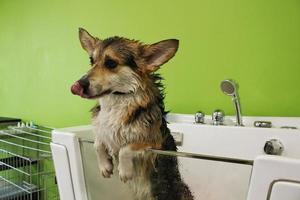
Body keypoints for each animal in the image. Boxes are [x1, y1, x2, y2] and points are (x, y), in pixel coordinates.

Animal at [71, 28, 192, 200]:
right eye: (91, 60)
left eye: (111, 63)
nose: (77, 85)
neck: (116, 101)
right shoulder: (103, 131)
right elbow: (97, 143)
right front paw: (105, 166)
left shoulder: (153, 142)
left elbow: (126, 147)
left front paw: (124, 171)